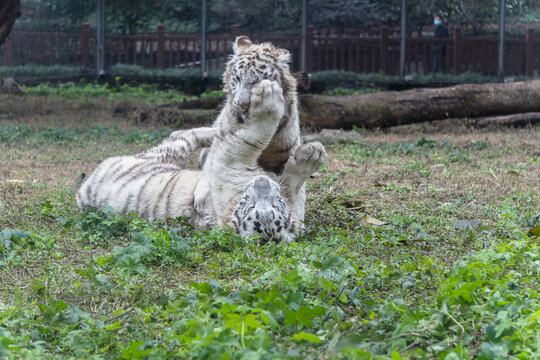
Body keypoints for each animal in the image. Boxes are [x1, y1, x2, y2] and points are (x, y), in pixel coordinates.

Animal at [77, 79, 326, 242]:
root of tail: (82, 190)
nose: (262, 183)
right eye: (253, 206)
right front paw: (312, 154)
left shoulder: (228, 160)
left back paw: (213, 131)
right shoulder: (230, 161)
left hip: (165, 154)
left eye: (273, 206)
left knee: (181, 134)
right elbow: (258, 140)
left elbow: (255, 140)